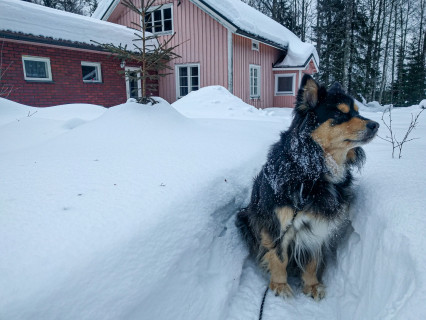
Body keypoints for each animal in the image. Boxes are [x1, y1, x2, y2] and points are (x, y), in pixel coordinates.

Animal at [236, 74, 380, 300]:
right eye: (339, 113)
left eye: (358, 111)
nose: (375, 125)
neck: (312, 173)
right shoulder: (276, 223)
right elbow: (278, 256)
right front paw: (279, 284)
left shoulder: (319, 224)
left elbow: (312, 259)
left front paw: (312, 285)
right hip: (244, 218)